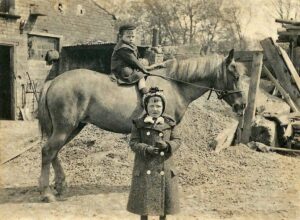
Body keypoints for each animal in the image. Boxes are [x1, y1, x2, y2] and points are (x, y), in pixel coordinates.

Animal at [37, 49, 246, 202]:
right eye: (235, 76)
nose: (242, 105)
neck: (175, 85)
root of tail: (54, 81)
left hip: (73, 127)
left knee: (54, 152)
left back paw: (60, 186)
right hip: (65, 128)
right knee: (48, 151)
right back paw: (46, 192)